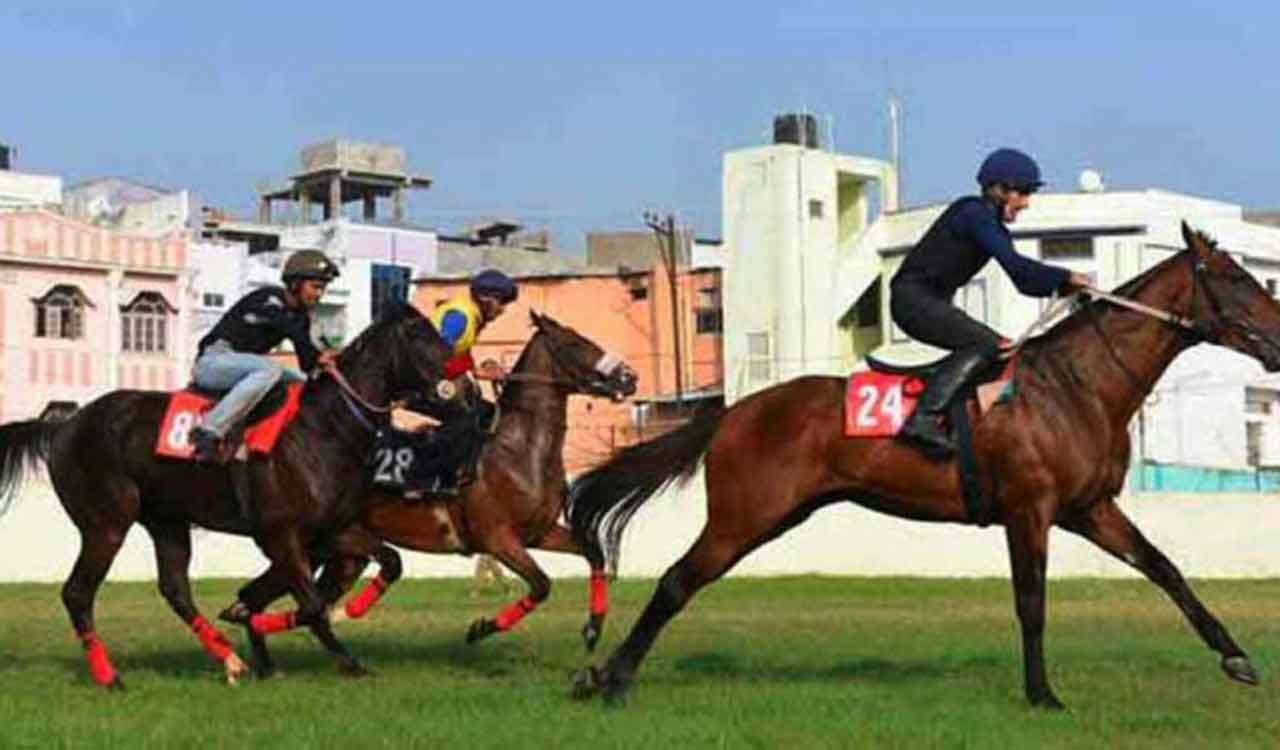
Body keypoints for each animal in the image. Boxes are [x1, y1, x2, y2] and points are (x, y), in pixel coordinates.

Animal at [0, 302, 450, 687]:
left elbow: (389, 562)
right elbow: (310, 605)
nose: (459, 379)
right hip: (106, 523)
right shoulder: (280, 534)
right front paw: (332, 655)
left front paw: (336, 625)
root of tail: (64, 425)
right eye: (421, 335)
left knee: (175, 589)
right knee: (78, 592)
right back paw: (110, 676)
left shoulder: (331, 530)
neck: (325, 428)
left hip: (166, 521)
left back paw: (229, 660)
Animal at [217, 311, 638, 677]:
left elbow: (593, 552)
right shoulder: (498, 538)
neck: (518, 449)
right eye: (575, 342)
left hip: (333, 552)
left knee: (258, 598)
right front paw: (481, 627)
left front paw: (593, 628)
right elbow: (541, 585)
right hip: (315, 543)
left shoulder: (540, 532)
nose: (628, 377)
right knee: (274, 600)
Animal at [567, 222, 1280, 708]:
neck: (1078, 384)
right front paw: (1042, 694)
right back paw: (610, 678)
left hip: (775, 516)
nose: (1278, 339)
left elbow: (1166, 570)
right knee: (675, 582)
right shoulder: (1030, 510)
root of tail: (736, 411)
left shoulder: (1090, 508)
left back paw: (605, 675)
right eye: (1238, 280)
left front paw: (1237, 658)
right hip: (745, 515)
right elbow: (1032, 602)